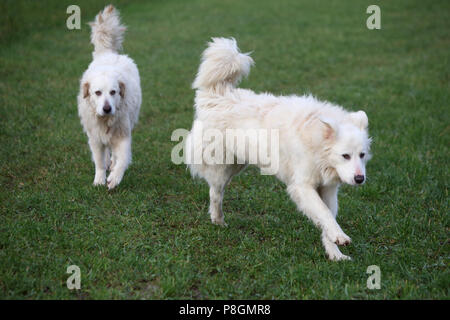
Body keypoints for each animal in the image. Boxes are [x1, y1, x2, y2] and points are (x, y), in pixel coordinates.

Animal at [77, 5, 141, 189]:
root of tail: (108, 54)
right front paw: (99, 179)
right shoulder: (95, 138)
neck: (105, 121)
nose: (107, 108)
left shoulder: (123, 136)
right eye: (97, 92)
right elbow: (98, 160)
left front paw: (114, 177)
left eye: (113, 92)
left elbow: (123, 159)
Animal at [186, 38, 372, 262]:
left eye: (362, 155)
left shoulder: (328, 189)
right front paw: (340, 236)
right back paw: (218, 221)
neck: (317, 142)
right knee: (215, 193)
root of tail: (218, 92)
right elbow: (324, 214)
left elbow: (327, 217)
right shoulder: (302, 186)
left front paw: (335, 253)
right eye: (345, 156)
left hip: (237, 165)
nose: (360, 179)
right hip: (222, 168)